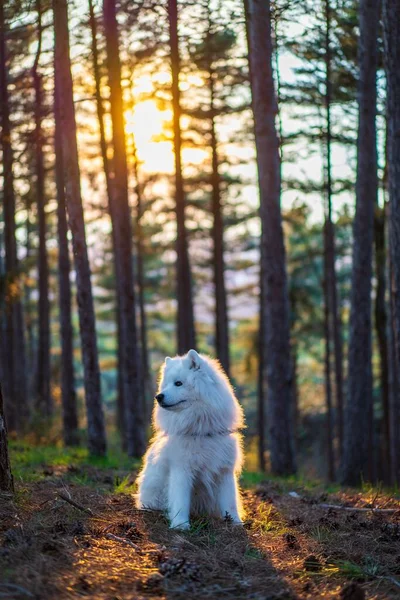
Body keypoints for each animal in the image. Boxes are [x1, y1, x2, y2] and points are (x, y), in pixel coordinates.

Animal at [137, 352, 244, 528]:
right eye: (165, 385)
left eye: (178, 383)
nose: (158, 396)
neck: (200, 431)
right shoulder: (182, 469)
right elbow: (180, 501)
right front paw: (181, 525)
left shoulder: (224, 471)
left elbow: (230, 502)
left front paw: (235, 523)